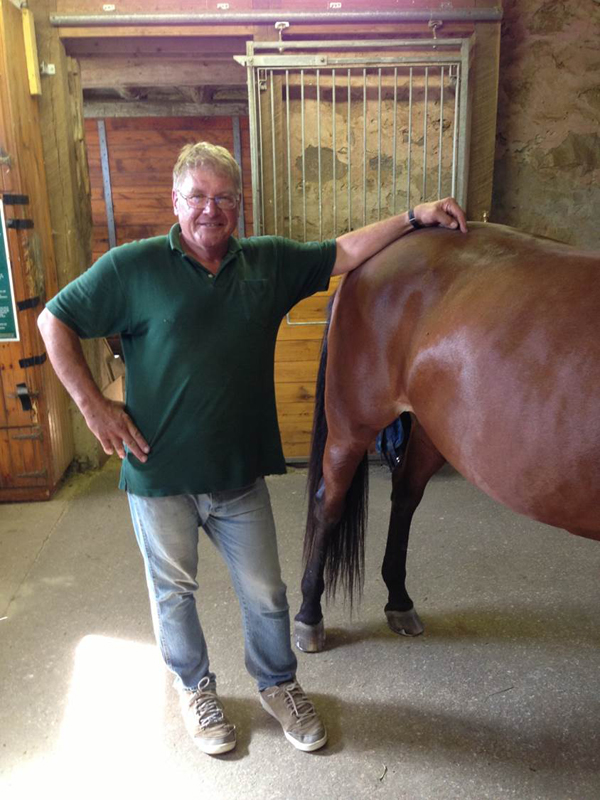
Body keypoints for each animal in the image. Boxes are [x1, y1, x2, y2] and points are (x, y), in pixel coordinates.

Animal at [293, 221, 600, 653]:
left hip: (431, 430)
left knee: (405, 495)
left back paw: (399, 602)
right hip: (351, 427)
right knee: (329, 504)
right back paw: (309, 615)